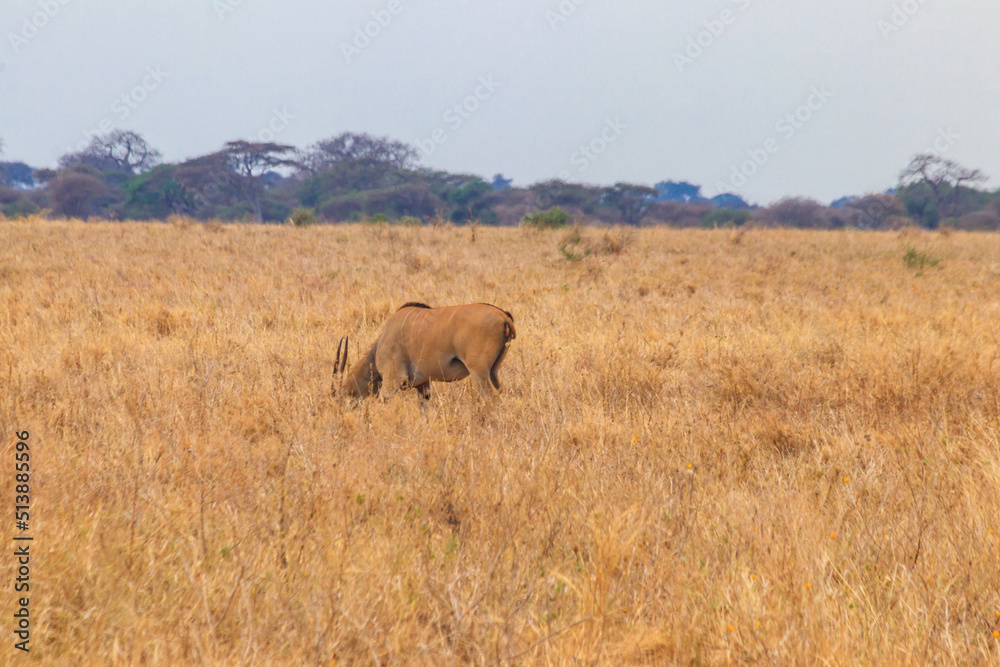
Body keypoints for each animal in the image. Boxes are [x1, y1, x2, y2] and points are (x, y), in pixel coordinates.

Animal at [334, 302, 520, 402]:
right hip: (493, 371)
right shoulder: (423, 386)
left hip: (479, 372)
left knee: (490, 396)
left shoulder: (392, 379)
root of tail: (504, 316)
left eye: (339, 400)